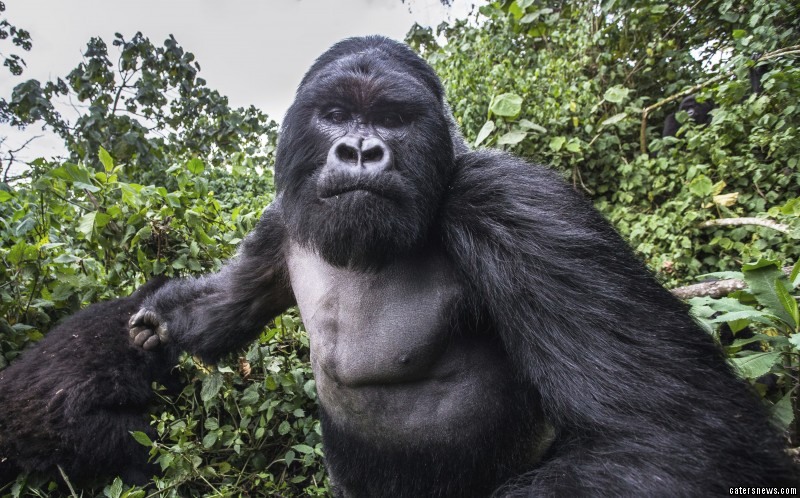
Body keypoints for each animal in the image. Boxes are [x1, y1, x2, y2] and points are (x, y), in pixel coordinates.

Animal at [128, 37, 796, 496]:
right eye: (336, 114)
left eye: (394, 118)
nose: (361, 151)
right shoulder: (281, 220)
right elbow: (234, 300)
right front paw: (161, 323)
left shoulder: (512, 201)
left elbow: (674, 434)